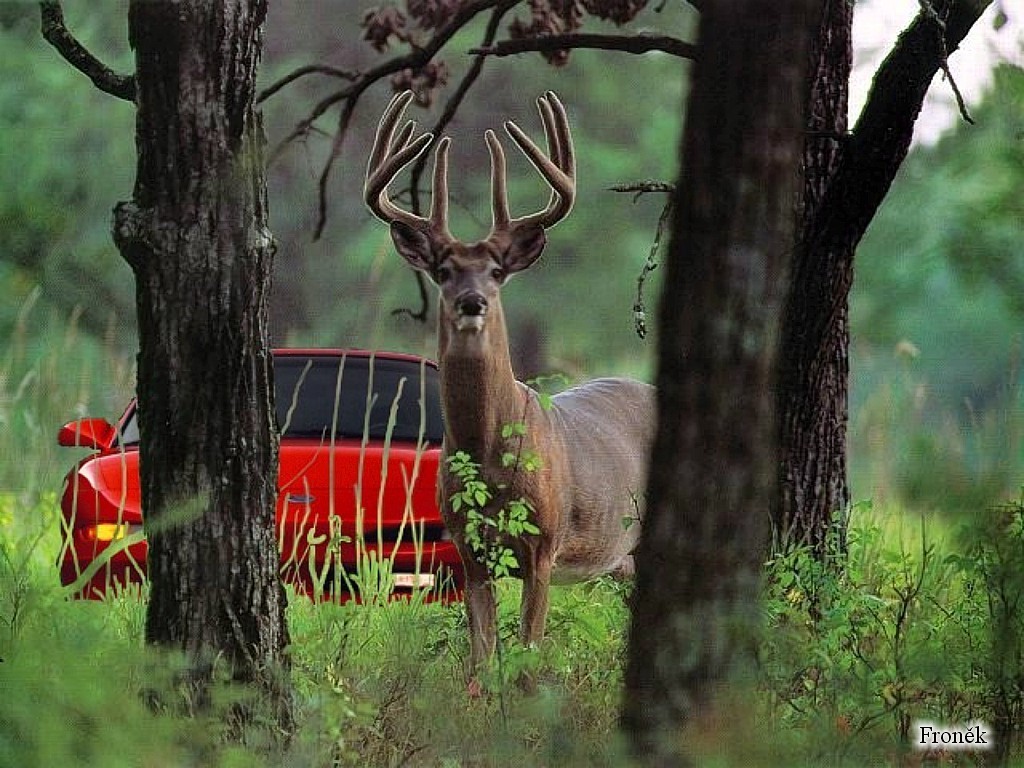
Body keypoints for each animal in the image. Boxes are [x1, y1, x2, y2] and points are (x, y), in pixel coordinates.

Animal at [366, 91, 655, 679]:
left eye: (497, 271)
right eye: (443, 270)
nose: (472, 302)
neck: (488, 451)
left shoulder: (543, 545)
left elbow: (526, 661)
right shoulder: (468, 549)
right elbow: (480, 662)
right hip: (621, 557)